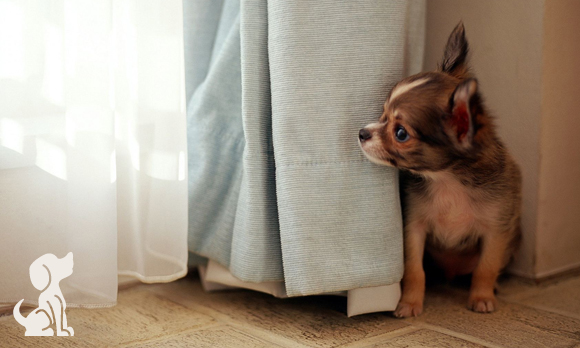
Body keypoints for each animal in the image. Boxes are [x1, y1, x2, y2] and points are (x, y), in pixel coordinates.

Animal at [358, 20, 520, 316]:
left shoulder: (496, 230)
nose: (362, 133)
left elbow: (486, 267)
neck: (447, 179)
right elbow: (414, 271)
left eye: (400, 133)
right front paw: (410, 303)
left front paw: (482, 297)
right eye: (382, 114)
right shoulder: (414, 228)